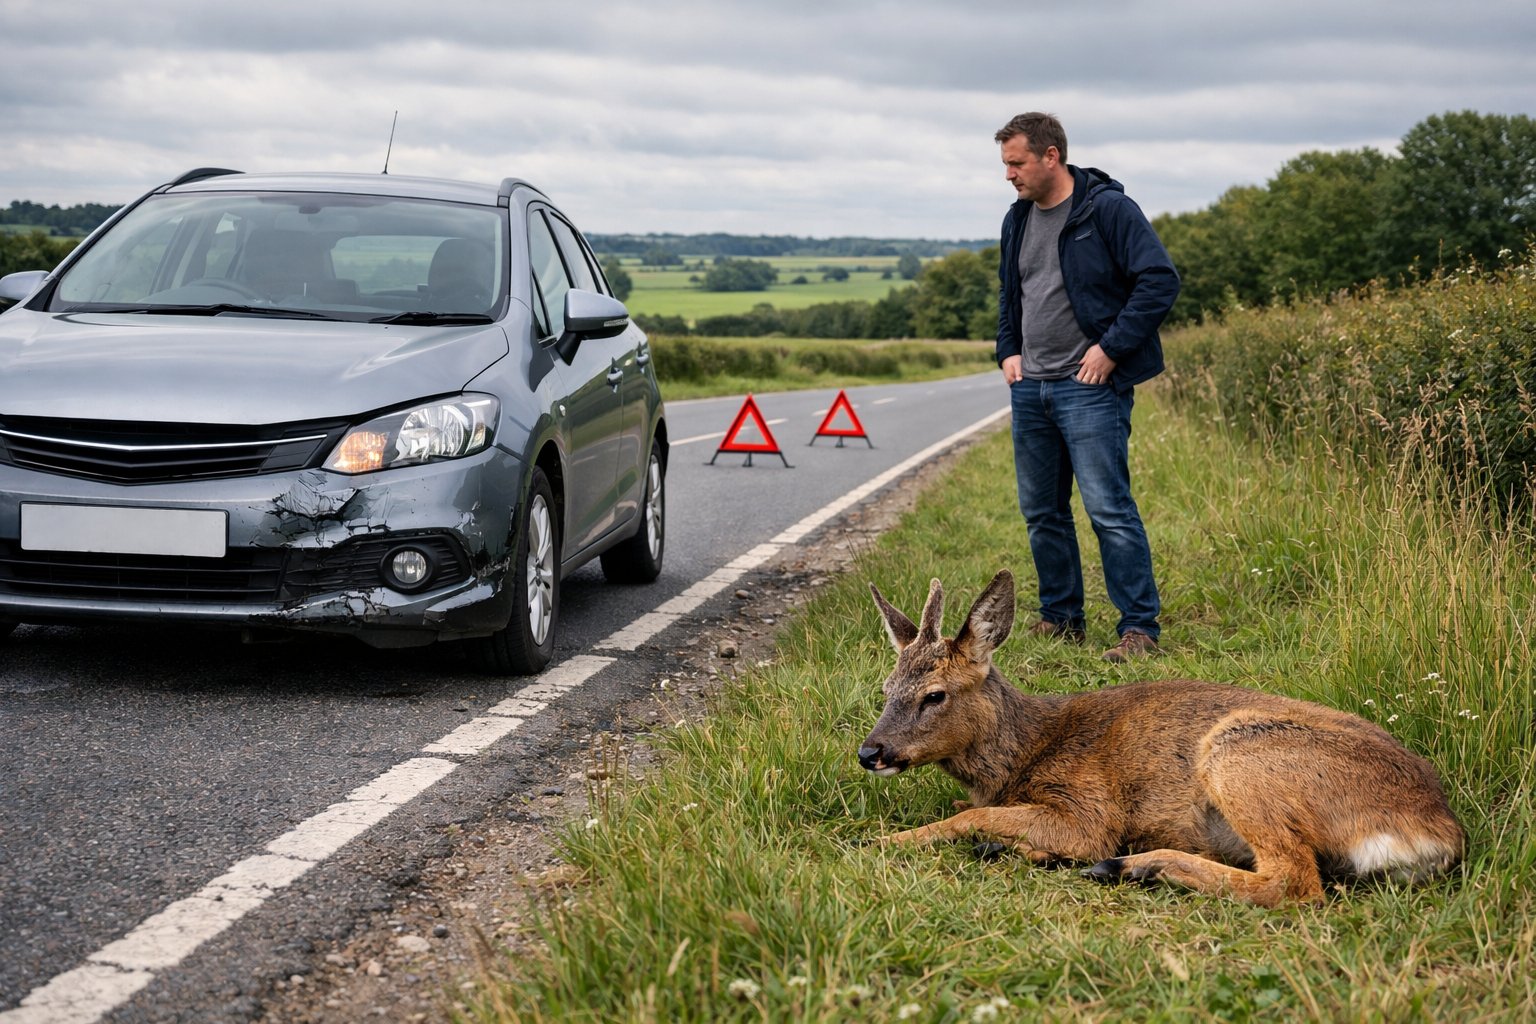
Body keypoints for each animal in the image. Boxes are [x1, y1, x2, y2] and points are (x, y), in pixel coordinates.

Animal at [857, 569, 1465, 906]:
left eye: (935, 695)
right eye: (885, 687)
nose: (870, 751)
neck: (1025, 753)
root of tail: (1438, 829)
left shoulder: (1089, 811)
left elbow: (970, 816)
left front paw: (885, 842)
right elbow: (970, 811)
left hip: (1237, 752)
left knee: (1293, 881)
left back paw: (1133, 865)